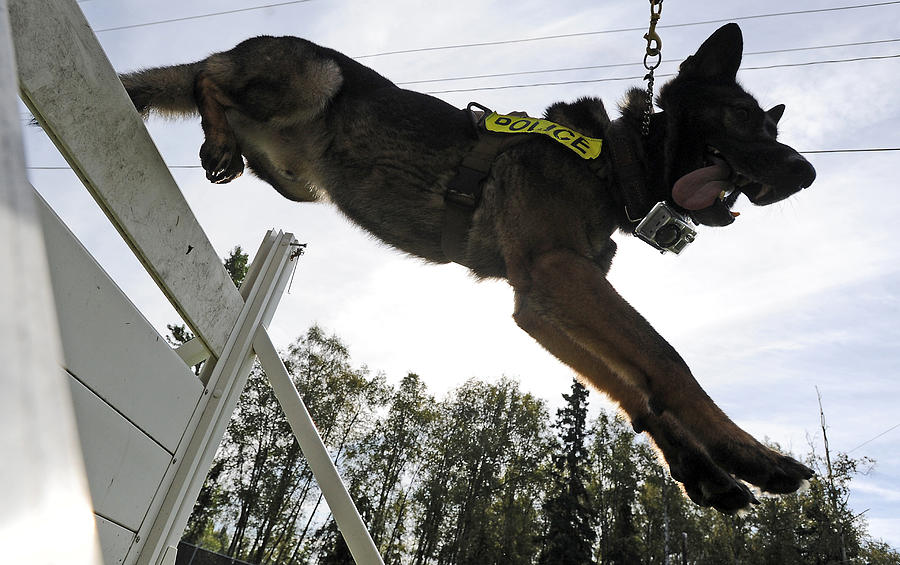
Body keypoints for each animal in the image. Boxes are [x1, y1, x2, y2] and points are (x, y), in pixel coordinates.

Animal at [123, 24, 820, 512]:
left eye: (770, 126)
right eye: (742, 119)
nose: (806, 173)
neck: (611, 159)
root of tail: (239, 47)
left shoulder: (541, 303)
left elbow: (630, 386)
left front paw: (700, 470)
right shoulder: (560, 273)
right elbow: (667, 361)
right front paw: (746, 453)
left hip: (297, 178)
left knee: (209, 94)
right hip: (317, 73)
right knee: (208, 82)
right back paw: (217, 135)